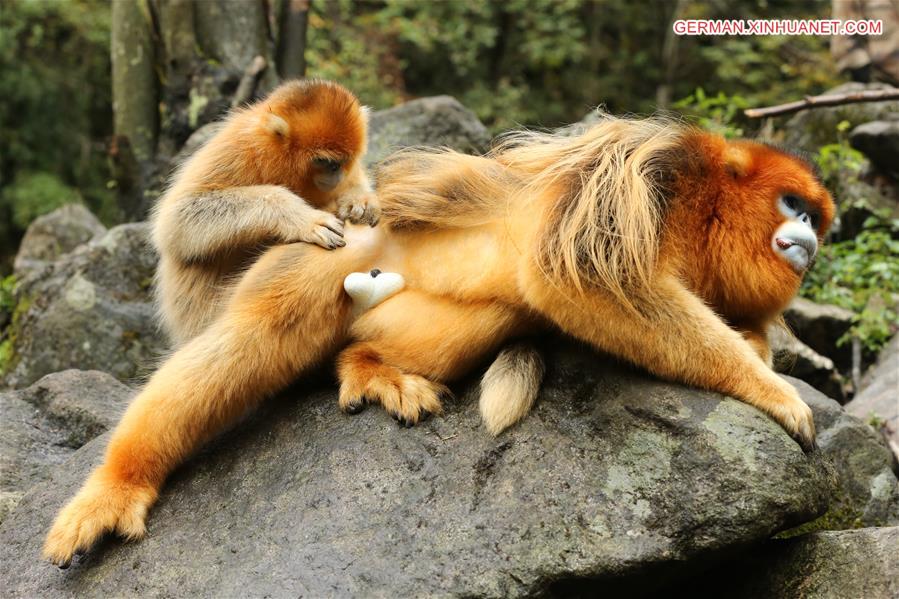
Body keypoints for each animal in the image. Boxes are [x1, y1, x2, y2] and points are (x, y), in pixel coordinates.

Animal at [43, 114, 835, 567]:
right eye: (790, 204)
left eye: (816, 218)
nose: (808, 241)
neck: (706, 215)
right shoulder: (658, 165)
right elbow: (577, 275)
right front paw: (769, 389)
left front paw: (764, 352)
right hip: (329, 246)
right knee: (253, 337)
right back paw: (119, 479)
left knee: (485, 316)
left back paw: (367, 365)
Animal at [151, 79, 379, 346]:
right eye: (323, 161)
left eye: (342, 161)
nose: (336, 172)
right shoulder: (241, 147)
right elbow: (178, 220)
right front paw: (302, 218)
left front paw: (359, 201)